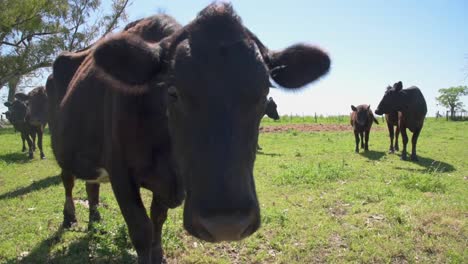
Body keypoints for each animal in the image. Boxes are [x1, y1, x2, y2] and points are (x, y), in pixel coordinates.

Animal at [46, 3, 330, 262]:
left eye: (264, 93)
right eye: (172, 91)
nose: (226, 224)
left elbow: (157, 220)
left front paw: (158, 255)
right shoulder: (121, 174)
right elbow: (141, 230)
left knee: (91, 184)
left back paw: (95, 219)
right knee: (68, 180)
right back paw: (70, 217)